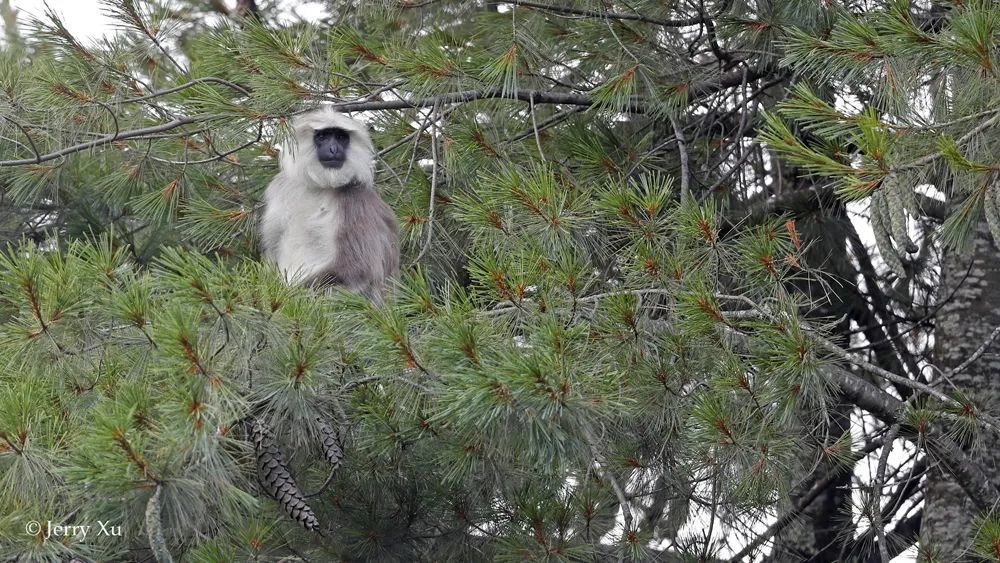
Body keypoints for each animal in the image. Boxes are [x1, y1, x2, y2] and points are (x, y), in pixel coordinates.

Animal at [262, 107, 402, 300]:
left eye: (341, 137)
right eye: (323, 136)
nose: (334, 149)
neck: (320, 186)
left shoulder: (354, 197)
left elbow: (359, 266)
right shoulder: (281, 188)